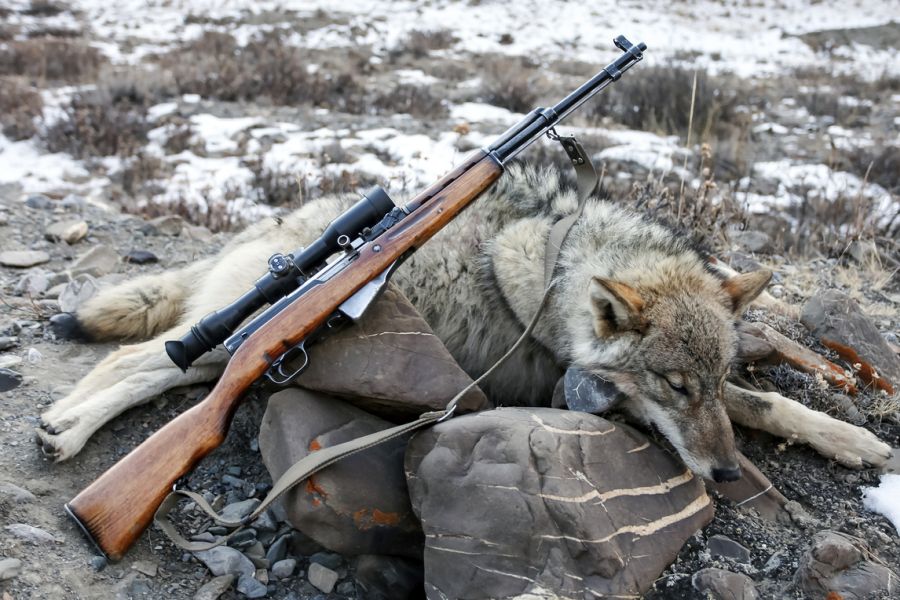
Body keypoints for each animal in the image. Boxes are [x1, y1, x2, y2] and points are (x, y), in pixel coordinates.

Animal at [37, 164, 892, 482]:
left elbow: (765, 400)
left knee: (142, 365)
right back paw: (67, 433)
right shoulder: (579, 388)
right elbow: (763, 406)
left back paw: (62, 426)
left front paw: (849, 437)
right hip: (236, 350)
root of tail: (273, 234)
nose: (724, 477)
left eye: (707, 383)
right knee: (138, 363)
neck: (561, 263)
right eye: (675, 388)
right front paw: (854, 439)